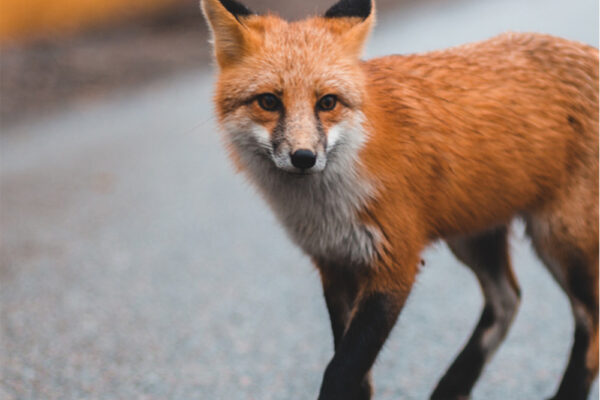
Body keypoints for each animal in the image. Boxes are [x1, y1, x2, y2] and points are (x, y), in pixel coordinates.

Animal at [203, 0, 600, 396]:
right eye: (269, 102)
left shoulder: (395, 263)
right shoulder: (335, 263)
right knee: (508, 300)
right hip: (473, 236)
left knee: (589, 324)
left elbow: (341, 369)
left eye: (327, 102)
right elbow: (358, 376)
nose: (304, 157)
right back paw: (452, 386)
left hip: (558, 239)